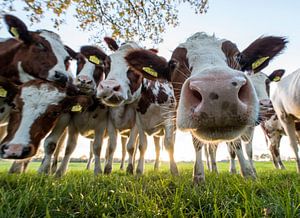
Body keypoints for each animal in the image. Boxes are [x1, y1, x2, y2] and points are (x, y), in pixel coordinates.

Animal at [96, 38, 178, 175]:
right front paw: (136, 170)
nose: (108, 87)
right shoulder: (135, 122)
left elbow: (168, 144)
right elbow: (134, 146)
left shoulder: (168, 120)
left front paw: (174, 171)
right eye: (107, 63)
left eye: (135, 68)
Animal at [123, 31, 286, 182]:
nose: (220, 90)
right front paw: (199, 177)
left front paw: (248, 174)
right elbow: (197, 144)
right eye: (172, 64)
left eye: (239, 57)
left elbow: (238, 145)